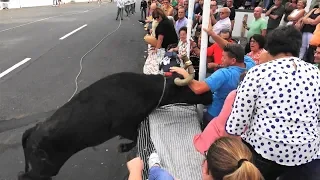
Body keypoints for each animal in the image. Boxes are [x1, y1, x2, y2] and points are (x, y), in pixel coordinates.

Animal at [18, 72, 212, 180]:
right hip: (45, 167)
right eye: (189, 87)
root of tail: (33, 130)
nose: (210, 94)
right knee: (24, 176)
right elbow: (135, 138)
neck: (143, 90)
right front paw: (123, 147)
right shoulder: (124, 125)